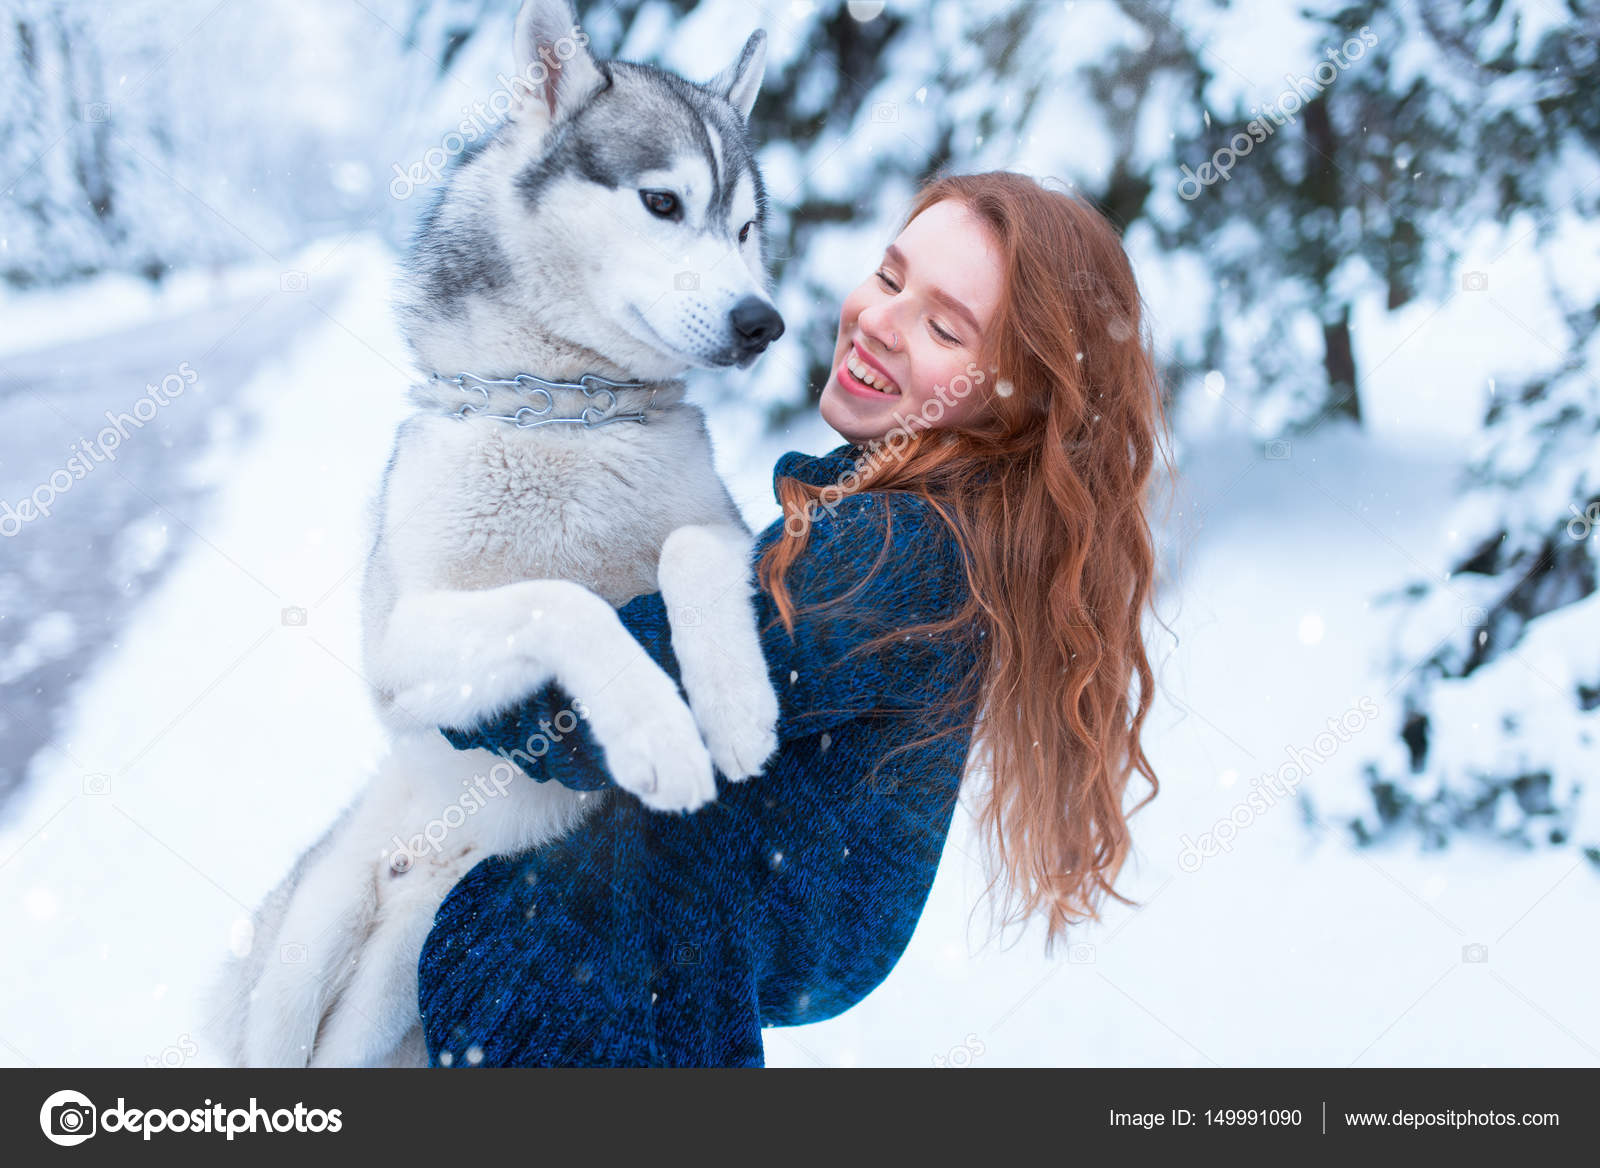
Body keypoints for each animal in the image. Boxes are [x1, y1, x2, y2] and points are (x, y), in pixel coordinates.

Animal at [209, 0, 784, 1062]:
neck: (567, 411)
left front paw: (731, 708)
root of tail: (406, 867)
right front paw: (657, 730)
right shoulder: (399, 656)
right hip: (304, 963)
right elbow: (561, 602)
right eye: (662, 202)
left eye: (747, 228)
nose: (762, 321)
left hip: (396, 984)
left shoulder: (728, 530)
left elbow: (686, 550)